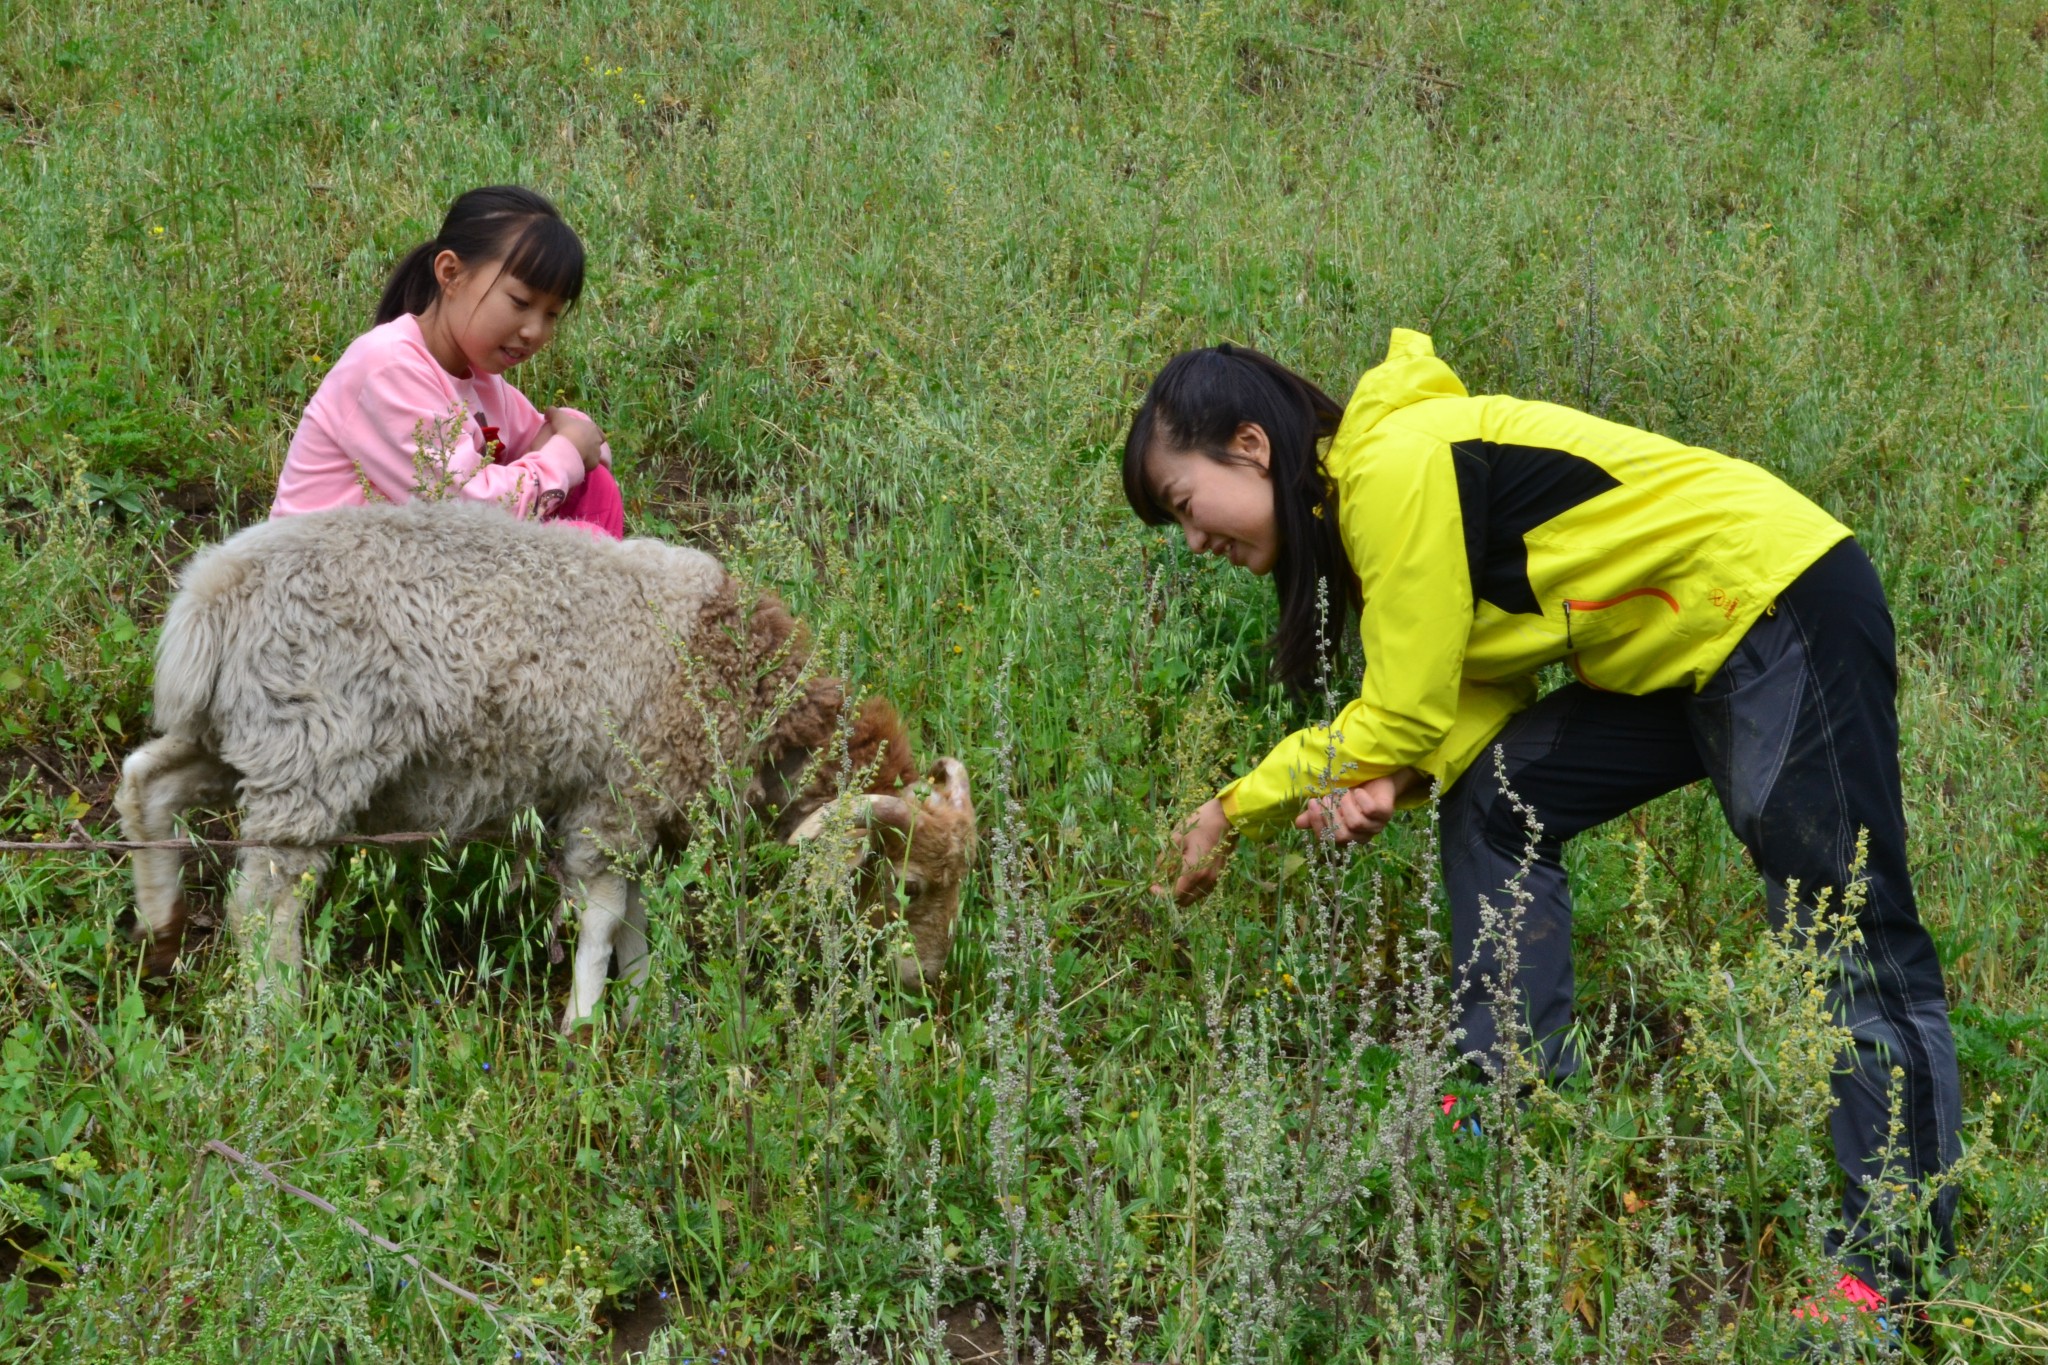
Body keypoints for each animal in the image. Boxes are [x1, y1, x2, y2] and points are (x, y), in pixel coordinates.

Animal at [116, 499, 978, 1023]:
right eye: (908, 885)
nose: (926, 979)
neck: (733, 669)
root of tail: (209, 598)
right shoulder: (617, 795)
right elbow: (600, 913)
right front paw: (586, 1021)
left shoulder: (631, 806)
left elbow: (630, 907)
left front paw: (641, 995)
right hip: (311, 759)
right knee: (264, 904)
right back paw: (282, 1013)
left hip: (245, 741)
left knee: (145, 782)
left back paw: (160, 928)